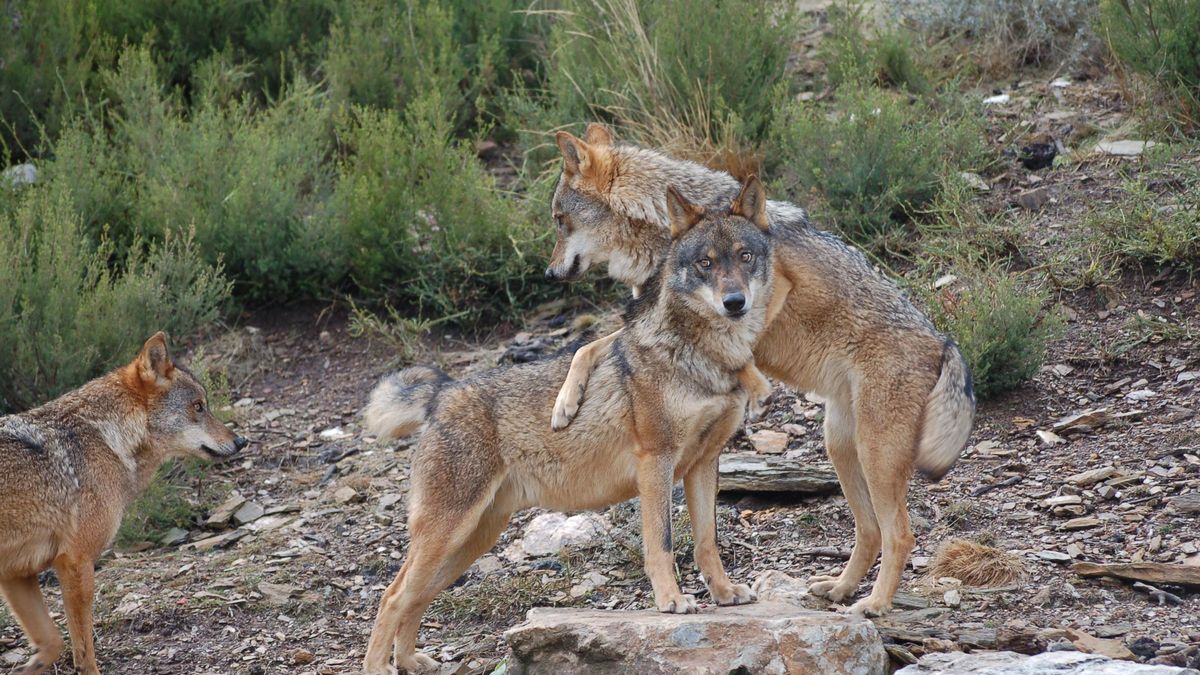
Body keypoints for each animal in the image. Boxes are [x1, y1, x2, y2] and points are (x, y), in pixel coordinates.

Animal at [0, 333, 246, 667]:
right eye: (198, 407)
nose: (241, 441)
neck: (106, 437)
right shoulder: (75, 562)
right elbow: (84, 653)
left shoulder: (17, 573)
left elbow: (53, 644)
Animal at [360, 174, 777, 672]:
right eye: (705, 264)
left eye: (744, 256)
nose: (735, 302)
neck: (708, 359)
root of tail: (442, 395)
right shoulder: (655, 461)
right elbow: (661, 542)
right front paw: (671, 601)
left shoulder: (703, 464)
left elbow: (706, 542)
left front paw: (724, 593)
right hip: (449, 534)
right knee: (391, 596)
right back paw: (379, 665)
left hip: (471, 542)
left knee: (415, 598)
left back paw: (408, 661)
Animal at [544, 123, 974, 619]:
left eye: (559, 220)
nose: (549, 274)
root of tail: (944, 340)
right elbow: (588, 347)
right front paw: (565, 404)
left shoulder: (770, 293)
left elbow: (725, 344)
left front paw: (754, 385)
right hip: (842, 448)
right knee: (869, 532)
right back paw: (841, 589)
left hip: (875, 455)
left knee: (899, 535)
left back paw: (873, 605)